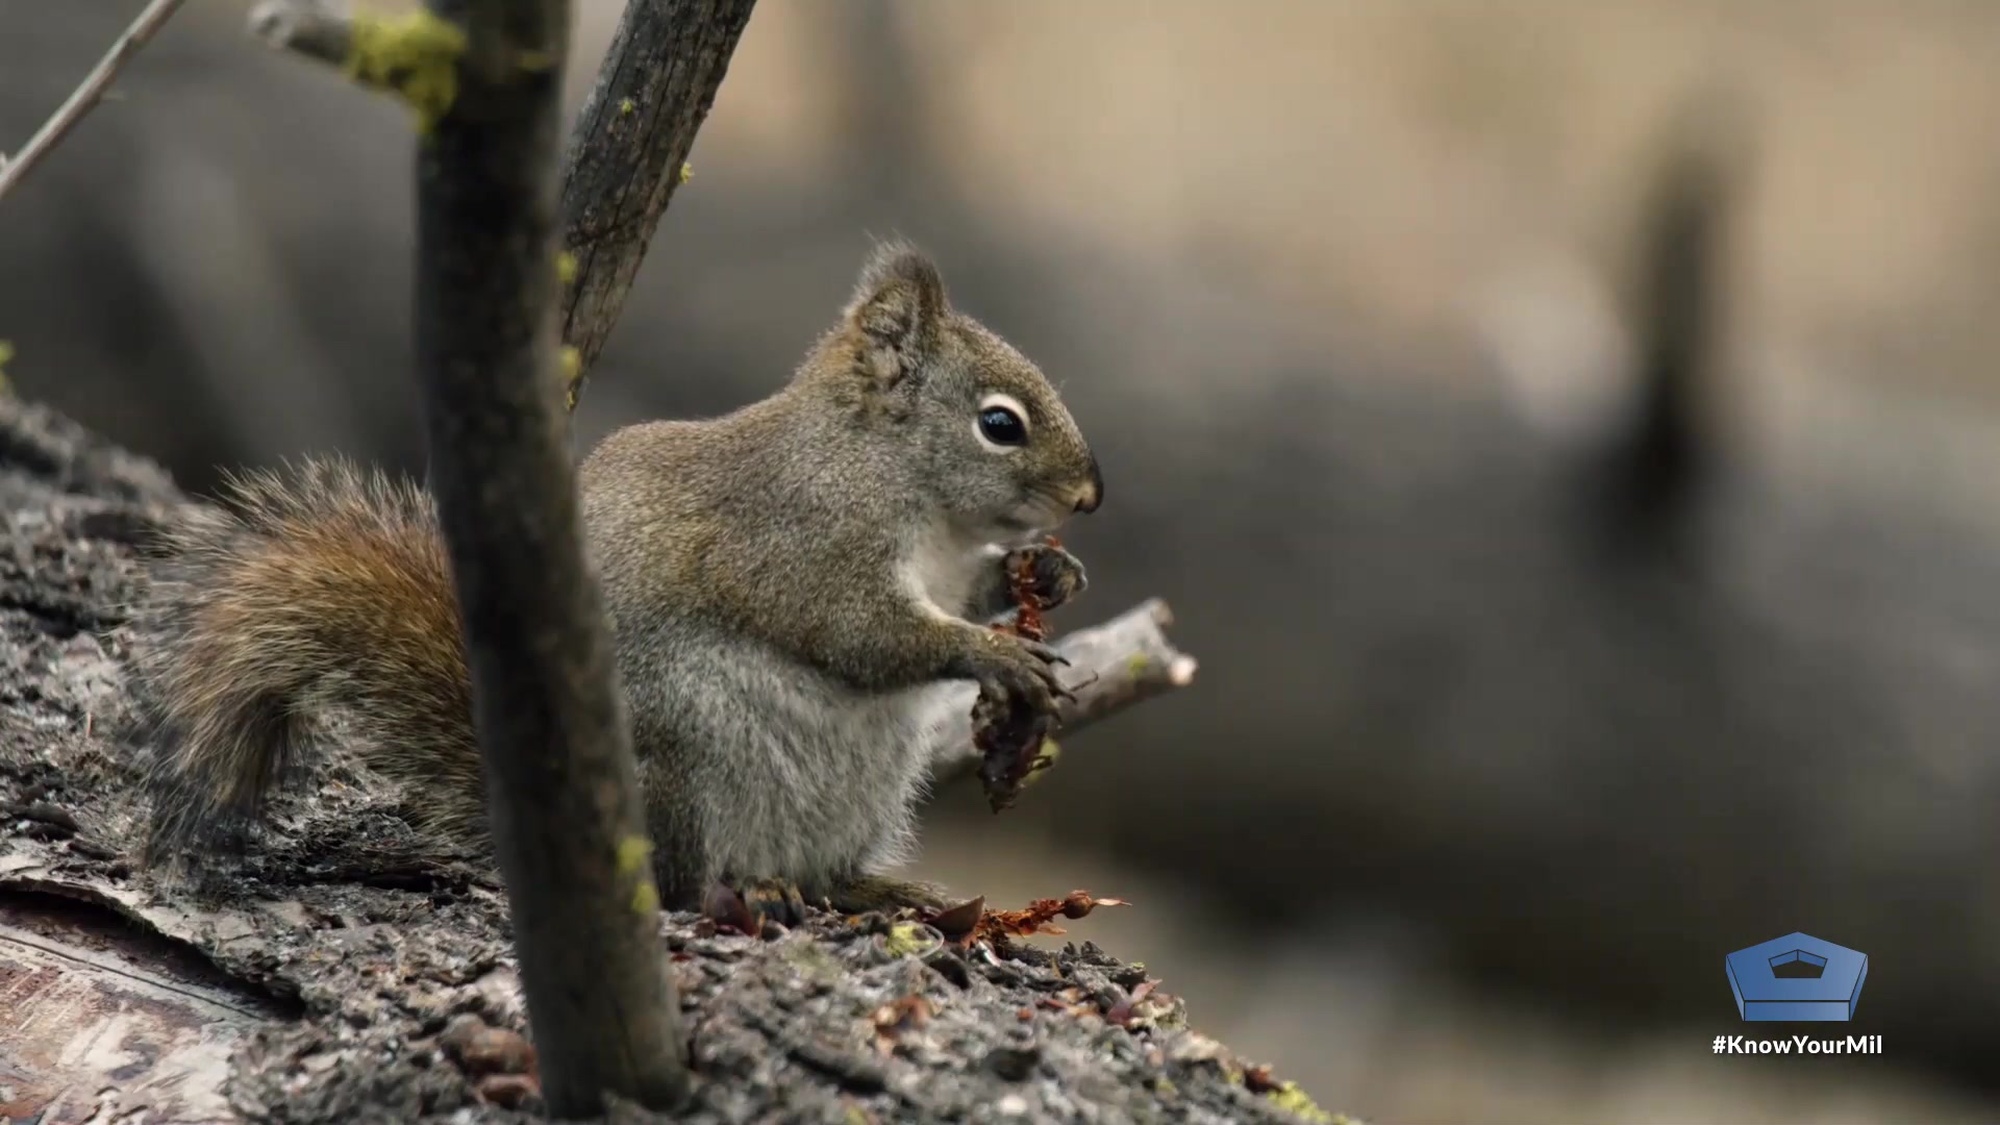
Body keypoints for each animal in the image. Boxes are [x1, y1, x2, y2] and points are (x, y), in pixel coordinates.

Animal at [133, 243, 1104, 920]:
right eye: (1000, 424)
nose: (1089, 495)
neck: (904, 485)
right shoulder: (802, 541)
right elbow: (858, 632)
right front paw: (992, 654)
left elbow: (963, 596)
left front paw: (1049, 572)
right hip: (682, 759)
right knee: (677, 882)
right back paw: (744, 893)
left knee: (826, 873)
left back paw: (873, 890)